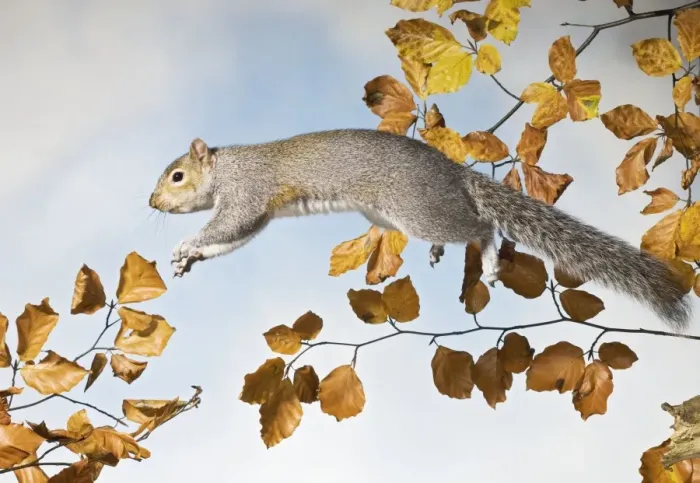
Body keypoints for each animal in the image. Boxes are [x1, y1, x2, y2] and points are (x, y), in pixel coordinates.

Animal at [148, 128, 693, 331]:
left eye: (176, 176)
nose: (151, 202)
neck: (226, 168)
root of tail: (453, 172)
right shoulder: (256, 211)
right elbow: (234, 238)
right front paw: (188, 258)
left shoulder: (248, 194)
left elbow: (229, 224)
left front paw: (187, 244)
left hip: (418, 208)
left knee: (481, 225)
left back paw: (488, 258)